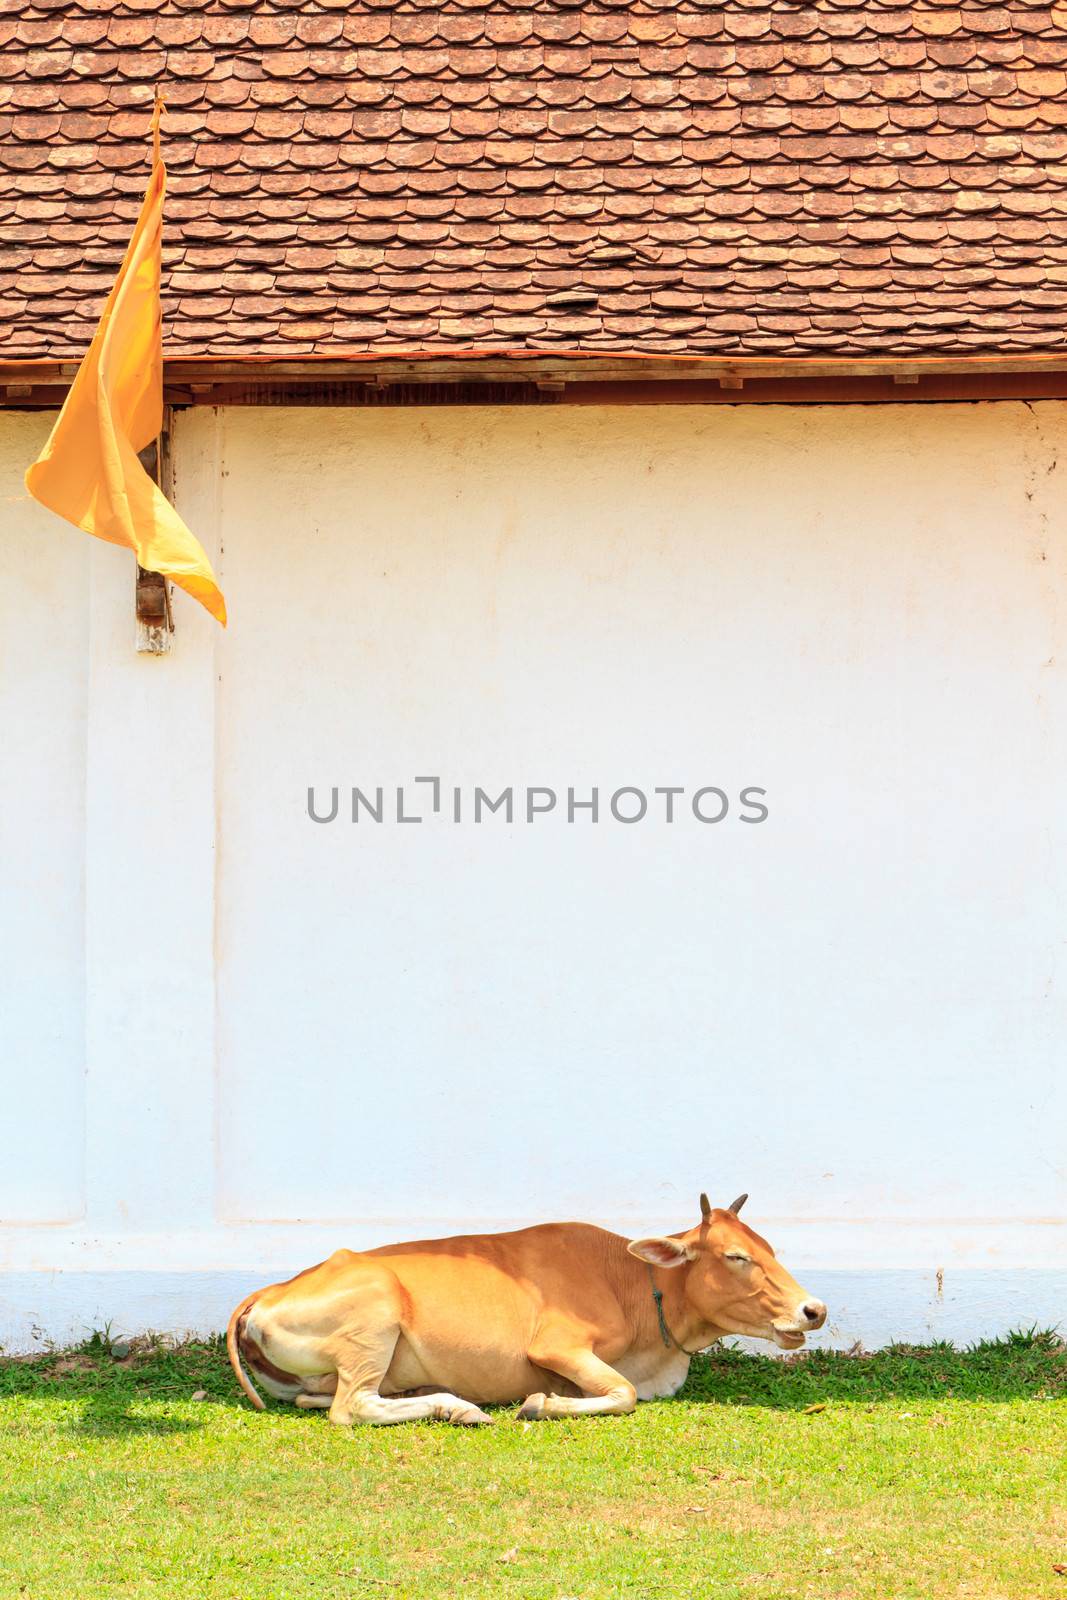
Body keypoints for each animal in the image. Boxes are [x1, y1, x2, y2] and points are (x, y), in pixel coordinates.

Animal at [227, 1196, 825, 1433]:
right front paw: (540, 1403)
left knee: (319, 1398)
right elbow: (623, 1394)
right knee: (349, 1407)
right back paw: (458, 1408)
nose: (813, 1310)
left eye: (769, 1248)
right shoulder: (557, 1347)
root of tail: (265, 1292)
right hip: (374, 1319)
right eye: (736, 1256)